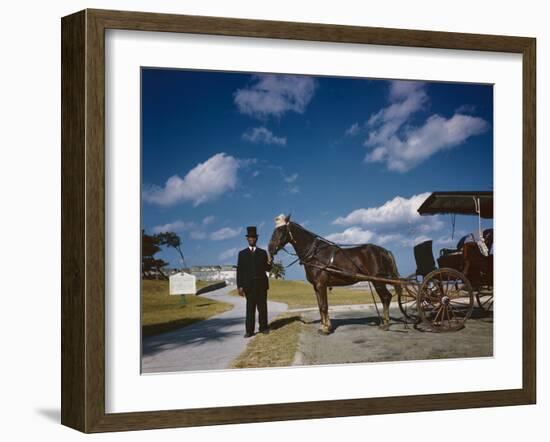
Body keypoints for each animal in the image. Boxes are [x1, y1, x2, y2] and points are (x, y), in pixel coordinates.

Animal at [270, 215, 404, 334]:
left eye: (281, 230)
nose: (270, 248)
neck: (315, 255)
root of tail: (384, 251)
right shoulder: (316, 286)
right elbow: (320, 306)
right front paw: (324, 326)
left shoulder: (321, 284)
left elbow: (324, 306)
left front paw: (326, 329)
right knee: (385, 298)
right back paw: (384, 322)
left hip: (378, 281)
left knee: (386, 297)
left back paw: (386, 324)